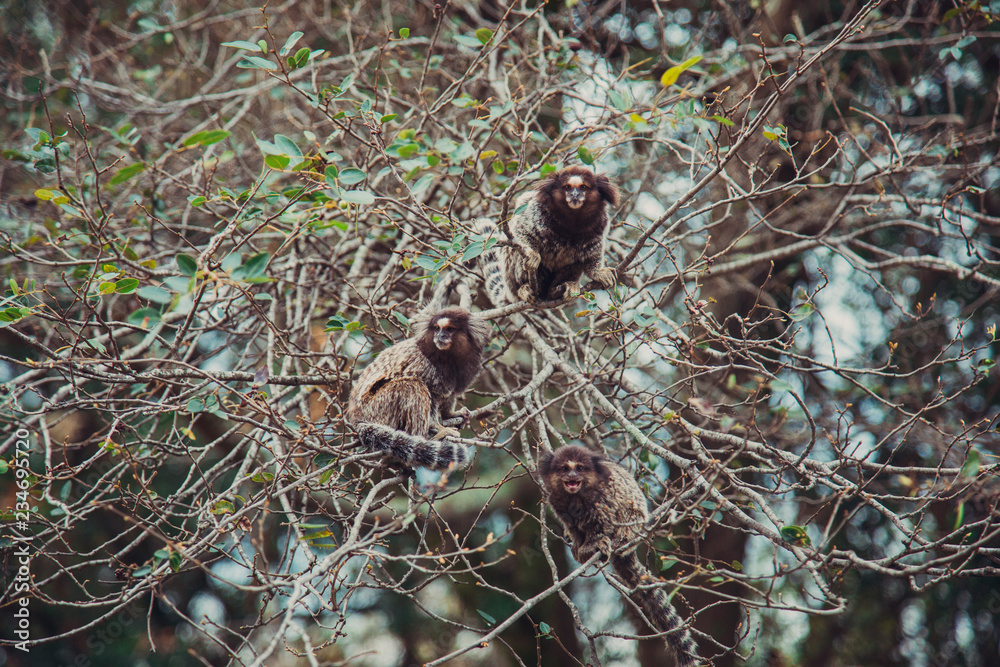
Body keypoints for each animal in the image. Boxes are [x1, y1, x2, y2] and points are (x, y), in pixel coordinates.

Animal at [346, 307, 490, 471]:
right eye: (437, 328)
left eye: (449, 329)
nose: (440, 336)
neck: (449, 356)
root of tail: (356, 418)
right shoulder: (422, 363)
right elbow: (430, 395)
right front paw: (438, 427)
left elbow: (450, 395)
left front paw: (451, 414)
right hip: (377, 407)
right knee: (413, 386)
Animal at [476, 166, 619, 305]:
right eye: (567, 187)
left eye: (583, 187)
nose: (574, 195)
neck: (573, 218)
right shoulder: (538, 209)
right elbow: (521, 229)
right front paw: (532, 254)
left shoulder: (601, 222)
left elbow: (593, 252)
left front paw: (598, 273)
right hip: (512, 281)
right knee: (511, 250)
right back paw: (524, 288)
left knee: (577, 259)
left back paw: (558, 289)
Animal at [539, 445, 699, 667]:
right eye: (564, 469)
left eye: (579, 468)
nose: (572, 476)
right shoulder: (557, 501)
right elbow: (572, 527)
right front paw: (580, 548)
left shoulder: (604, 497)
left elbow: (603, 521)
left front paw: (593, 544)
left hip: (634, 524)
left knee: (627, 513)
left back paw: (616, 542)